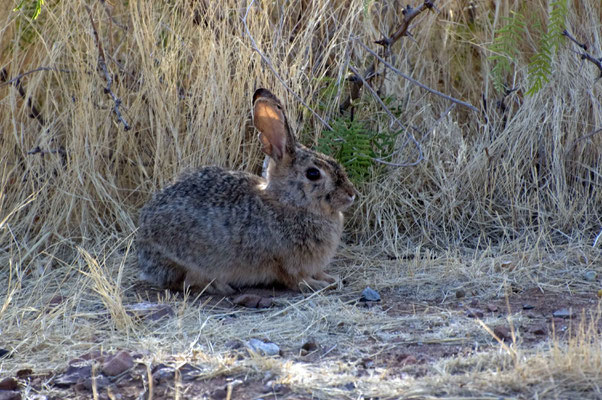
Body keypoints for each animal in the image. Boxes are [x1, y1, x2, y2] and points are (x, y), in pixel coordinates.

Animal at [136, 88, 356, 294]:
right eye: (313, 173)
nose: (351, 193)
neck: (287, 202)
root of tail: (144, 250)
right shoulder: (288, 263)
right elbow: (297, 280)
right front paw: (319, 285)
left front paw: (330, 278)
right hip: (189, 258)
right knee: (186, 282)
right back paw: (220, 287)